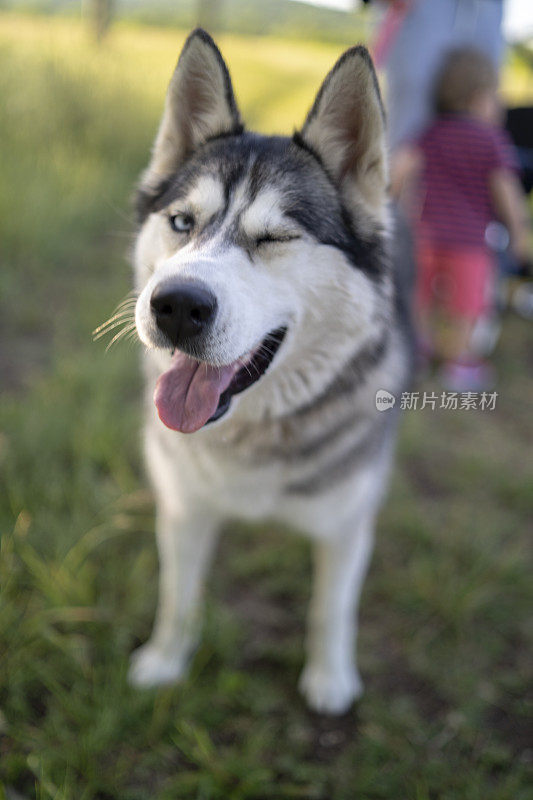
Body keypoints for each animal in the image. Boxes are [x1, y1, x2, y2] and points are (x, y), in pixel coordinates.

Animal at [128, 29, 412, 712]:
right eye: (182, 222)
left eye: (276, 238)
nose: (176, 305)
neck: (253, 434)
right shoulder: (184, 507)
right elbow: (178, 597)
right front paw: (166, 662)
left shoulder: (345, 525)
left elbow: (331, 608)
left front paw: (330, 679)